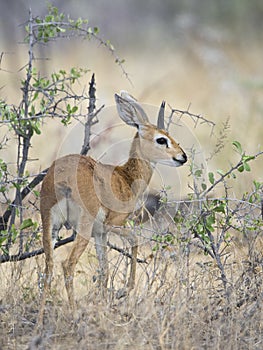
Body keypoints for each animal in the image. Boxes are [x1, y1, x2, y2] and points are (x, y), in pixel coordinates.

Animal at [38, 91, 188, 322]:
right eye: (161, 139)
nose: (182, 157)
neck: (125, 178)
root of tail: (62, 178)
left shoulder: (100, 234)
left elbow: (104, 269)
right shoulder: (112, 225)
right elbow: (134, 241)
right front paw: (122, 291)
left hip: (50, 224)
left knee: (49, 267)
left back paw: (39, 320)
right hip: (82, 226)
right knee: (67, 265)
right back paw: (74, 314)